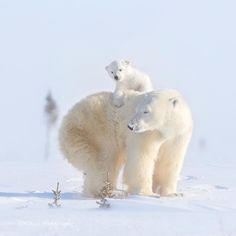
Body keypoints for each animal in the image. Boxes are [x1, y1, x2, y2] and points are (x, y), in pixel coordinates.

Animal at [58, 89, 192, 196]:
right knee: (103, 163)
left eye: (146, 111)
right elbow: (141, 158)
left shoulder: (178, 137)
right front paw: (146, 193)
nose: (130, 126)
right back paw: (107, 192)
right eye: (137, 109)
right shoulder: (146, 135)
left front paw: (171, 193)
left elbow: (170, 162)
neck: (165, 130)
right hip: (93, 131)